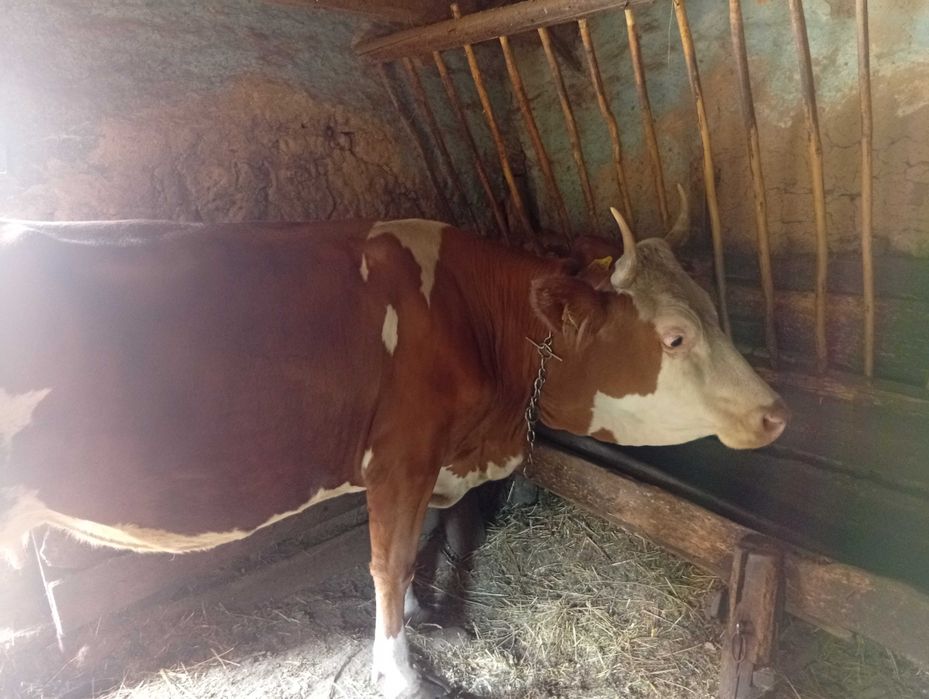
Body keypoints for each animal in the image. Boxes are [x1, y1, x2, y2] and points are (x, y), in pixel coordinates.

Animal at [0, 204, 788, 698]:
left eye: (714, 310)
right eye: (675, 336)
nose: (774, 413)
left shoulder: (431, 463)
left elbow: (421, 541)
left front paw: (421, 611)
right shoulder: (404, 455)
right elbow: (391, 558)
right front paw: (401, 669)